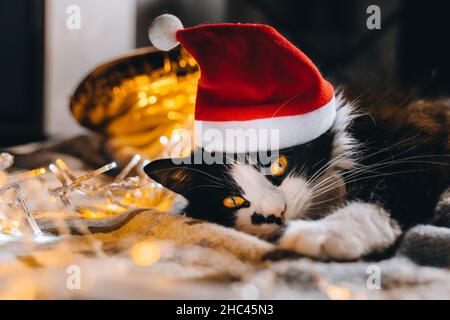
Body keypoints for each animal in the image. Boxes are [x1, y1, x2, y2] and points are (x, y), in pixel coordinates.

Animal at [145, 91, 450, 262]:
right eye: (232, 201)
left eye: (277, 165)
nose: (274, 214)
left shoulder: (415, 155)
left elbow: (383, 193)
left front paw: (327, 233)